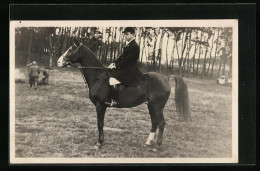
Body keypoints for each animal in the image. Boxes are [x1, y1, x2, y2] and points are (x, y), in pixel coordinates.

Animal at [57, 40, 191, 150]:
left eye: (70, 49)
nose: (58, 62)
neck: (98, 78)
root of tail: (166, 78)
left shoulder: (100, 105)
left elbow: (100, 123)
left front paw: (99, 143)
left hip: (157, 106)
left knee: (161, 123)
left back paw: (157, 146)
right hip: (151, 105)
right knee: (154, 122)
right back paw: (148, 142)